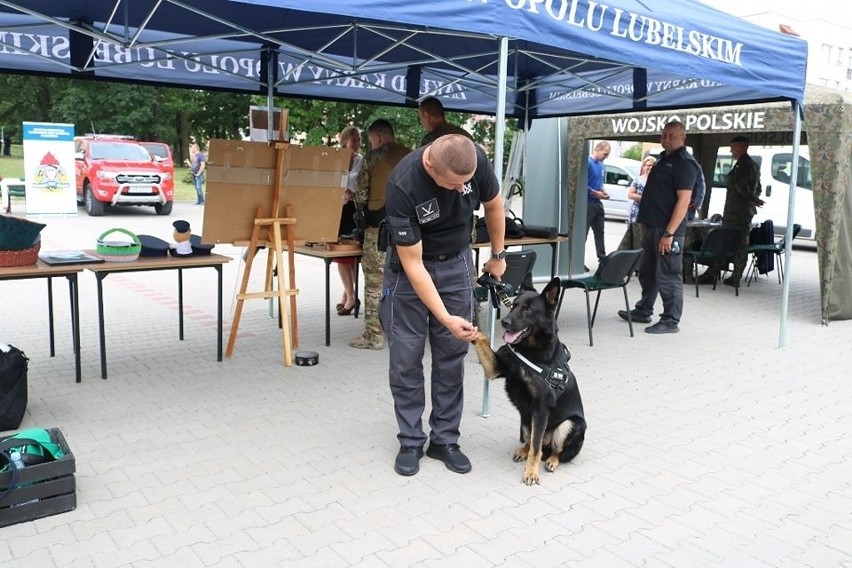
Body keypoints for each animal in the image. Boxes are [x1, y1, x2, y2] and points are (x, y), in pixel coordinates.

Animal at [472, 276, 584, 484]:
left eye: (529, 309)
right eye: (514, 305)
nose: (505, 321)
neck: (529, 351)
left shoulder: (541, 410)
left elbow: (536, 448)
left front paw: (531, 472)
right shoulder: (495, 369)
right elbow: (482, 338)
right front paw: (468, 326)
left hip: (570, 424)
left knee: (553, 450)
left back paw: (552, 460)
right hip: (524, 420)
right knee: (530, 440)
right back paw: (523, 451)